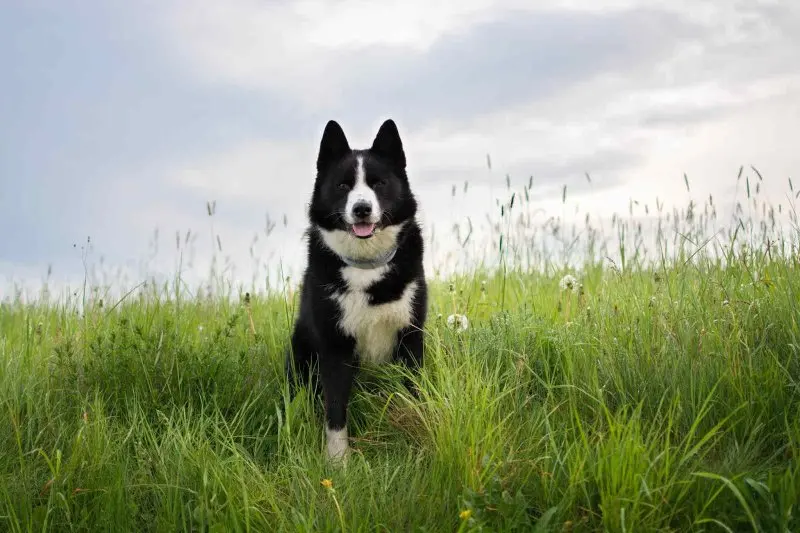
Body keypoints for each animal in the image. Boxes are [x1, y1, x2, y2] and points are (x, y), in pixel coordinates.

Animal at [284, 118, 428, 460]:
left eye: (378, 184)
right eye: (343, 186)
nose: (362, 208)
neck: (366, 265)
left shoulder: (411, 338)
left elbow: (413, 395)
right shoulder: (335, 348)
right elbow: (335, 412)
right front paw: (338, 464)